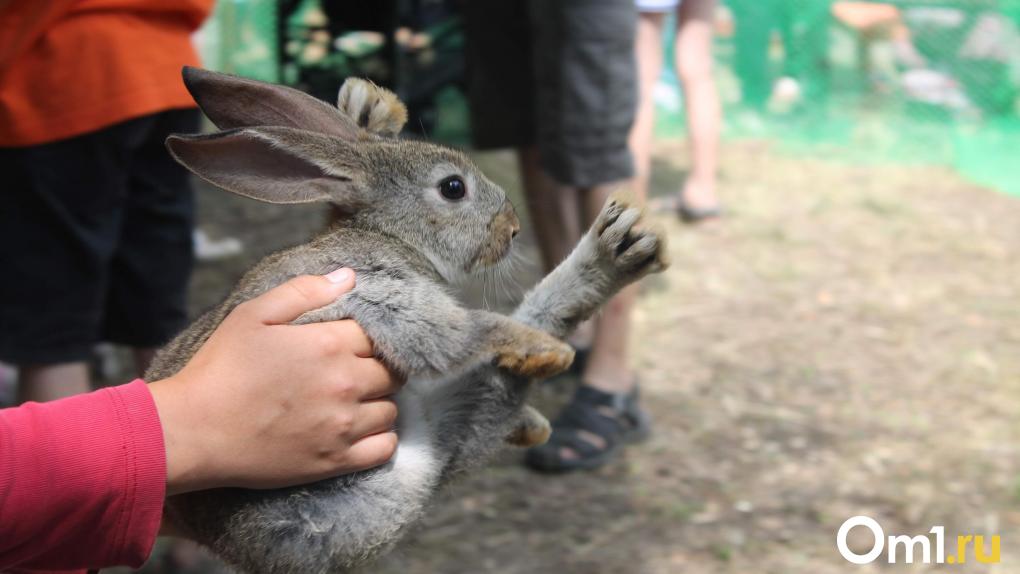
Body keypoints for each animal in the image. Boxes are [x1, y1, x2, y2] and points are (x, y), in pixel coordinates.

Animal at [145, 68, 669, 574]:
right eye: (453, 188)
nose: (512, 229)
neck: (390, 235)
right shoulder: (378, 291)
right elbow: (458, 332)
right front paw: (546, 351)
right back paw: (604, 267)